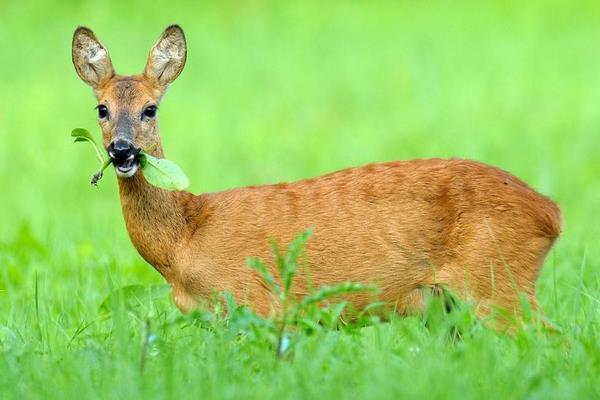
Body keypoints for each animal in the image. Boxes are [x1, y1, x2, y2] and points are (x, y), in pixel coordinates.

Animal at [71, 25, 564, 324]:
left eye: (150, 109)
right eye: (102, 109)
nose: (121, 150)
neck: (184, 242)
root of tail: (551, 213)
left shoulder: (257, 304)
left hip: (496, 282)